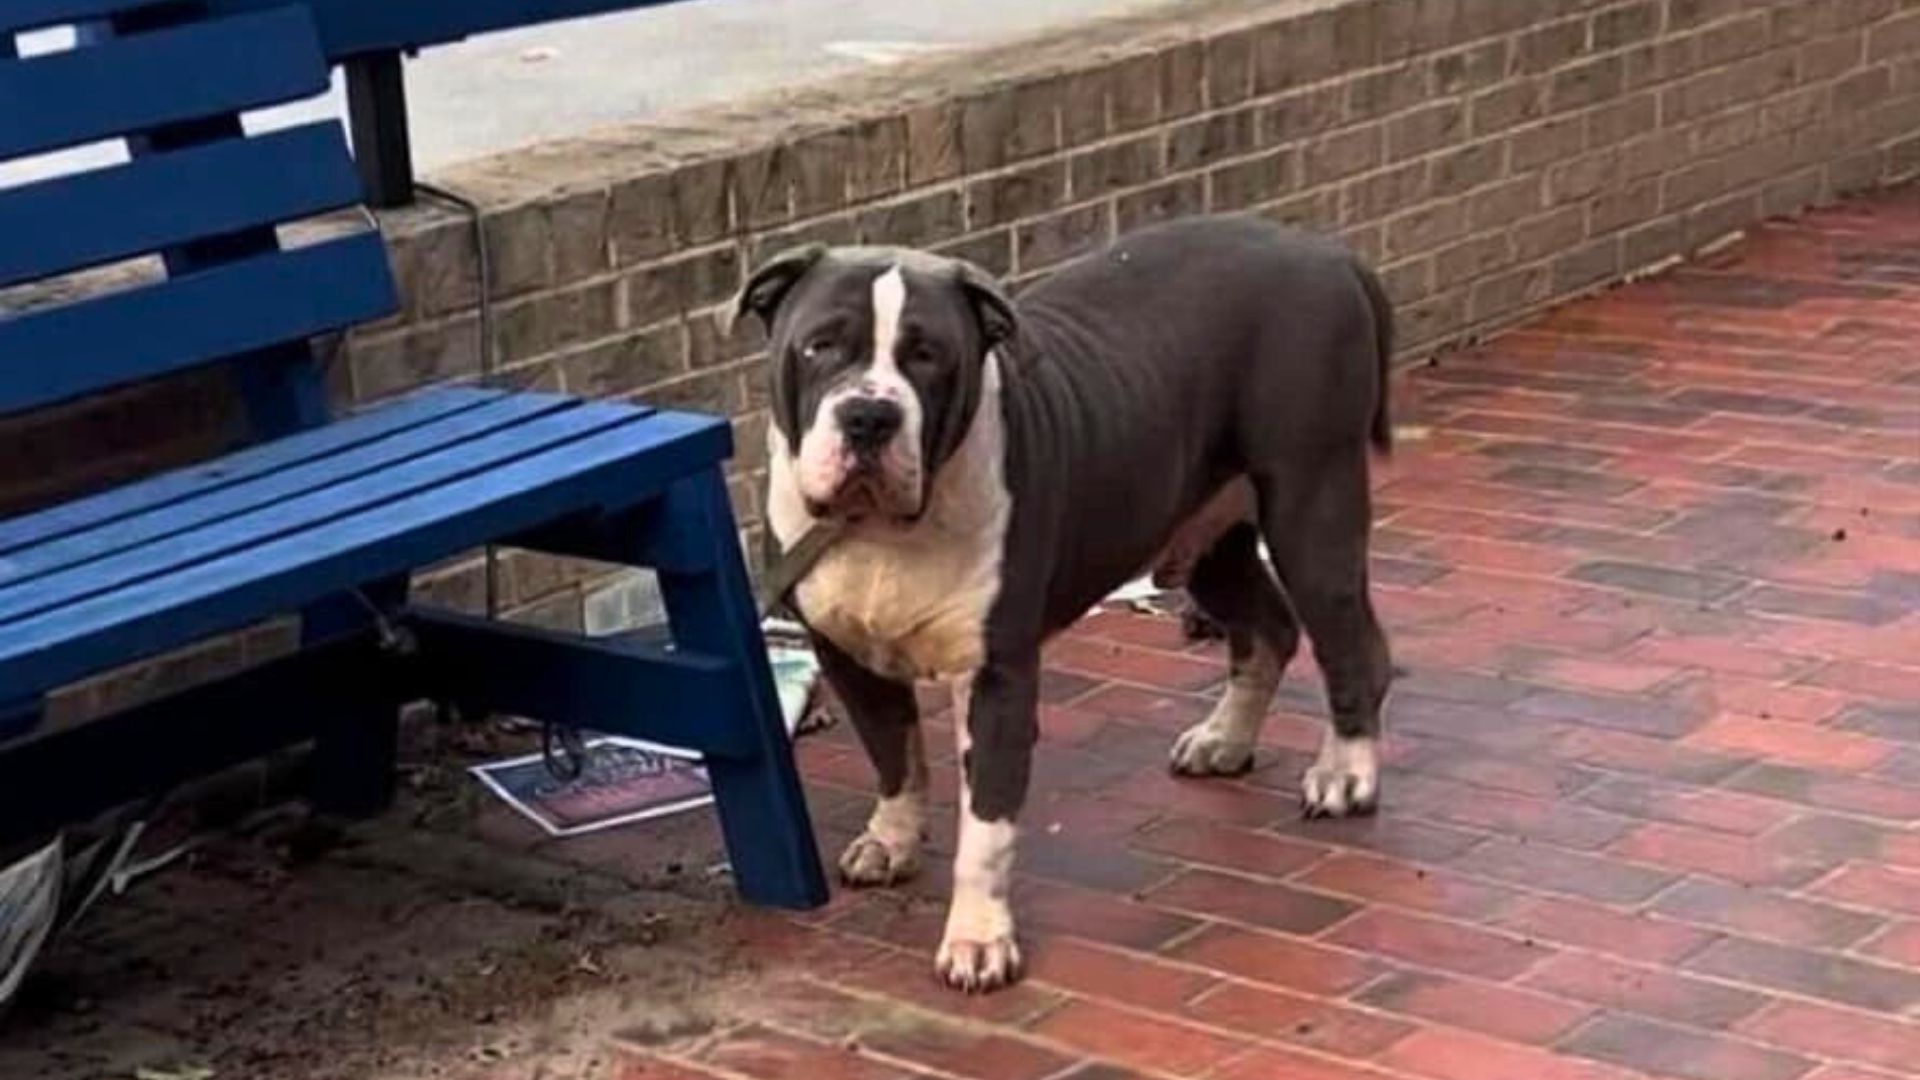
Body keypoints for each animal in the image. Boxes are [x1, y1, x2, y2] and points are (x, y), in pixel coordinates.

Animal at [733, 219, 1397, 991]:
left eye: (927, 355)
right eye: (819, 346)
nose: (869, 414)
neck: (881, 533)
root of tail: (1326, 251)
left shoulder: (997, 678)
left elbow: (985, 829)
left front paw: (979, 940)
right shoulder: (845, 655)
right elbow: (893, 754)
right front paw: (890, 840)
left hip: (1311, 507)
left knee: (1350, 646)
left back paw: (1345, 773)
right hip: (1205, 536)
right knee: (1268, 627)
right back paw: (1224, 740)